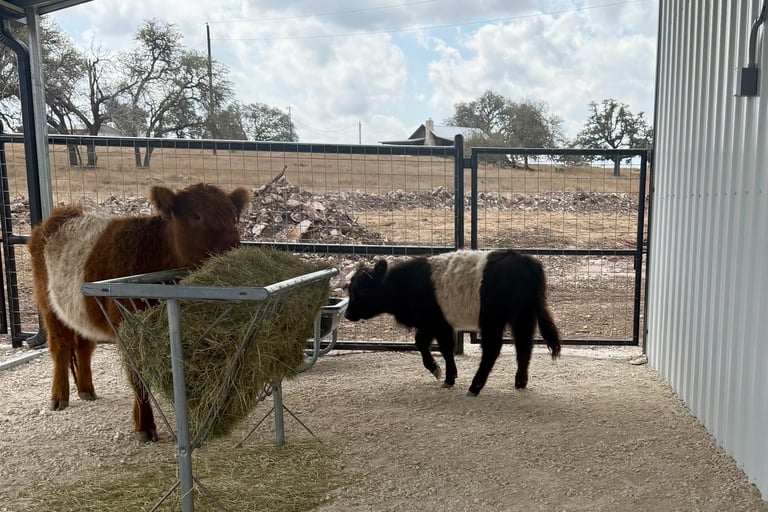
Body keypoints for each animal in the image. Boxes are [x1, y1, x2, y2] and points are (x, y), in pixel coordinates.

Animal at [28, 183, 251, 442]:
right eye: (196, 216)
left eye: (233, 217)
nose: (231, 251)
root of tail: (60, 214)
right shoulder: (130, 330)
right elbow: (139, 377)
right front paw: (145, 425)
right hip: (49, 306)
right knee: (60, 347)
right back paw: (59, 397)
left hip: (81, 310)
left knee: (84, 346)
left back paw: (86, 390)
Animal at [344, 249, 561, 396]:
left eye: (361, 290)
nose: (347, 314)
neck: (406, 283)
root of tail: (525, 260)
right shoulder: (429, 323)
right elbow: (420, 342)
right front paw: (435, 370)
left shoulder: (438, 322)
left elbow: (446, 348)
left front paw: (448, 377)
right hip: (523, 316)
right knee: (524, 345)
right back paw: (520, 381)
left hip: (493, 318)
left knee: (492, 348)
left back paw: (475, 386)